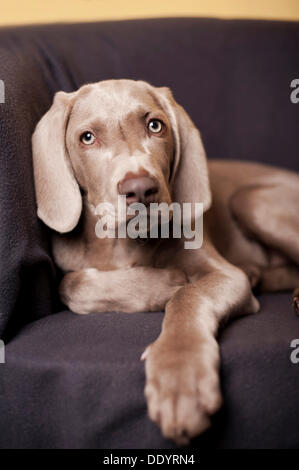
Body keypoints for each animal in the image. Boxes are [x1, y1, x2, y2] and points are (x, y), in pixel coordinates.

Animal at [31, 80, 299, 444]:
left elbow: (190, 295)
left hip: (252, 199)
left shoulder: (226, 275)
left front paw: (180, 377)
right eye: (87, 137)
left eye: (155, 126)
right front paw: (164, 283)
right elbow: (69, 284)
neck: (125, 244)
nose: (141, 189)